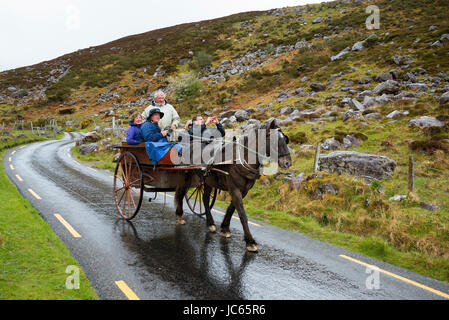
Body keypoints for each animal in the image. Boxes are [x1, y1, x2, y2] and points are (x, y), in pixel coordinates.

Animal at [173, 119, 292, 251]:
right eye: (274, 141)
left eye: (285, 139)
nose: (287, 162)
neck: (240, 159)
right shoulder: (234, 189)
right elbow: (242, 214)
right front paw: (250, 241)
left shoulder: (243, 191)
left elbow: (231, 209)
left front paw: (225, 228)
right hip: (187, 175)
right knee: (181, 193)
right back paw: (180, 215)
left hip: (208, 180)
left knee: (204, 198)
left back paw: (210, 223)